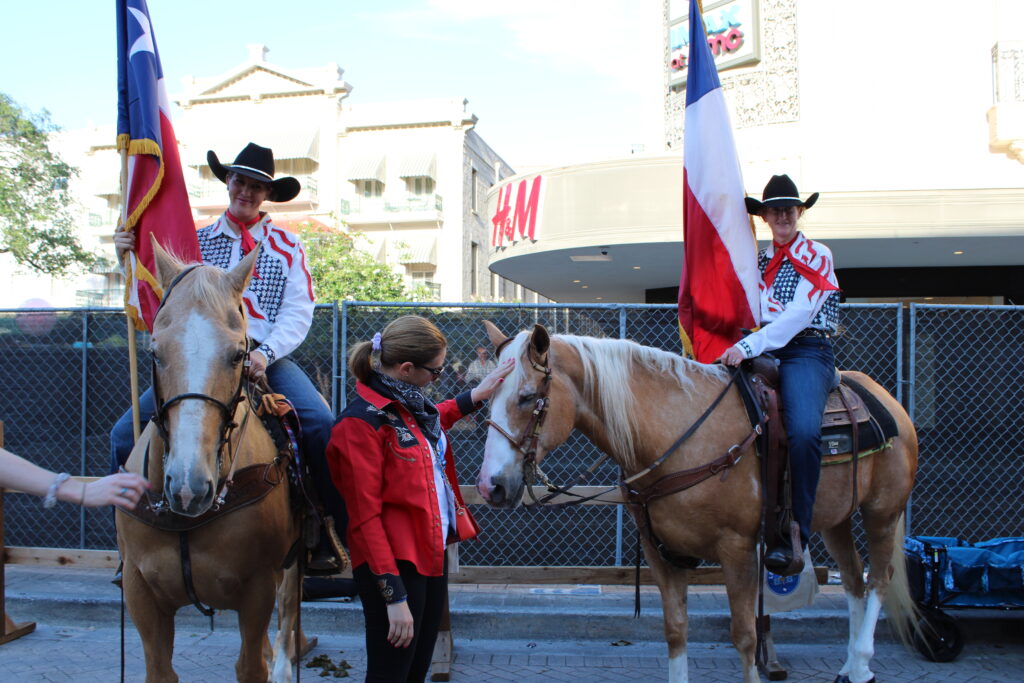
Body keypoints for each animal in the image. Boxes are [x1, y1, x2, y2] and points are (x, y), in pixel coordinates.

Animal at [117, 242, 303, 679]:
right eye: (154, 350)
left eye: (238, 354)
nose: (189, 487)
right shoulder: (140, 591)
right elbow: (161, 671)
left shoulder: (256, 591)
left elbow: (250, 666)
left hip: (291, 564)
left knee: (287, 611)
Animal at [479, 323, 921, 683]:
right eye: (487, 398)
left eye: (527, 397)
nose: (490, 486)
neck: (679, 435)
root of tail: (883, 397)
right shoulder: (661, 553)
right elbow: (676, 632)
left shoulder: (738, 550)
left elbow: (744, 636)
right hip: (836, 520)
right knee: (853, 581)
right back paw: (849, 666)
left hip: (882, 512)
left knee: (879, 578)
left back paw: (861, 664)